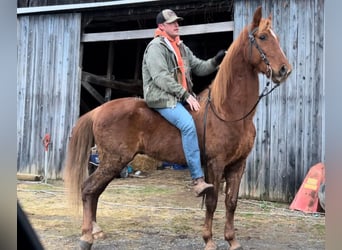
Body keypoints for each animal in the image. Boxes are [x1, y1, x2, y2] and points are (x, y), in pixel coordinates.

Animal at [64, 5, 292, 250]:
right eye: (263, 37)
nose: (284, 70)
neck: (229, 113)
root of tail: (98, 110)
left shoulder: (238, 165)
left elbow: (231, 202)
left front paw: (232, 240)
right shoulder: (215, 164)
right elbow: (212, 202)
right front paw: (209, 240)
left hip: (112, 162)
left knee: (95, 192)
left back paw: (96, 231)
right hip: (113, 161)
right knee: (88, 189)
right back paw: (86, 237)